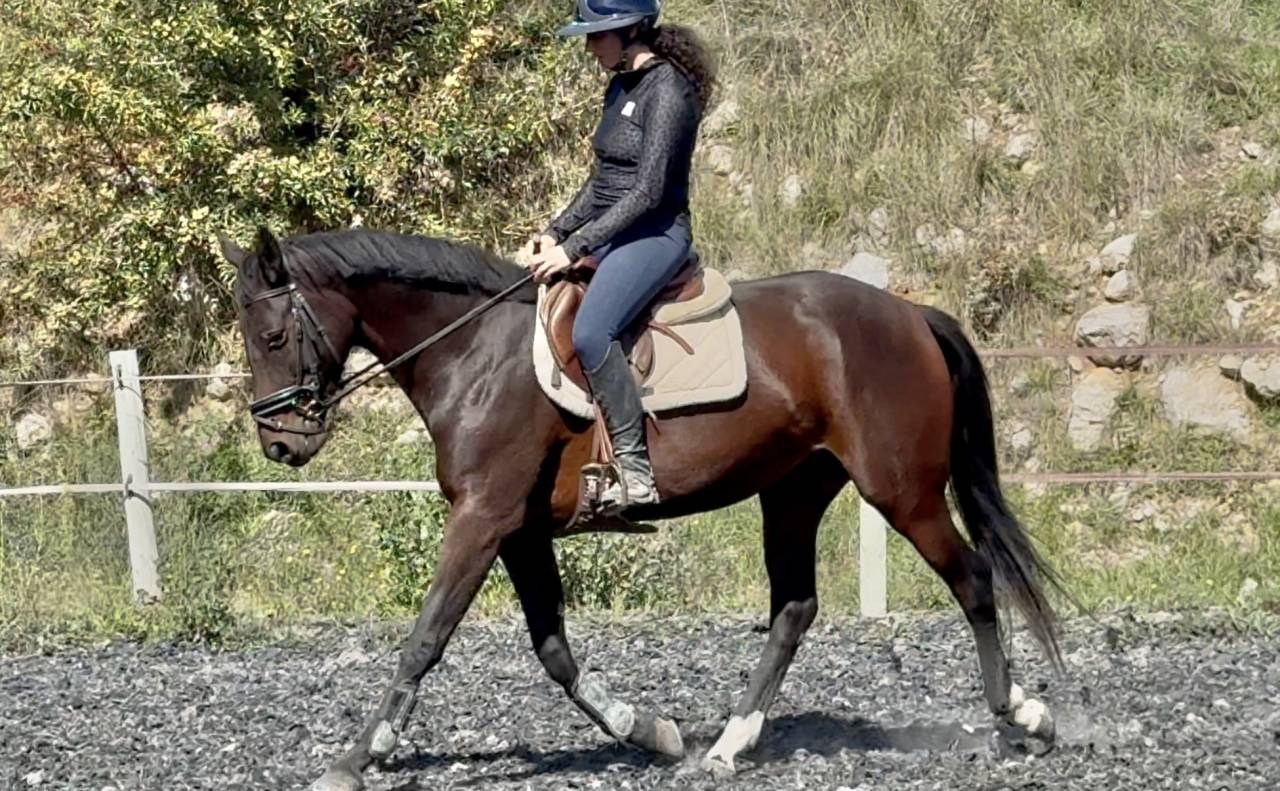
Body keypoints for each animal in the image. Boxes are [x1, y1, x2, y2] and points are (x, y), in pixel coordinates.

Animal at [218, 225, 1066, 790]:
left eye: (272, 334)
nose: (279, 443)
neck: (475, 352)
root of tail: (910, 314)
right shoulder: (519, 530)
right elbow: (553, 650)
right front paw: (650, 732)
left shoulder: (482, 519)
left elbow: (425, 637)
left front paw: (361, 753)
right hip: (792, 491)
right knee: (794, 607)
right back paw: (729, 744)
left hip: (902, 491)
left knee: (973, 578)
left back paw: (1022, 715)